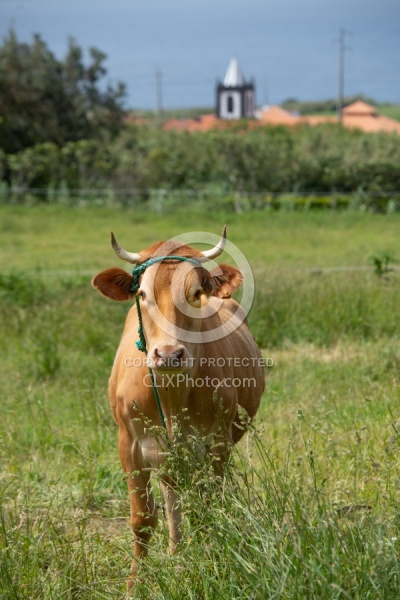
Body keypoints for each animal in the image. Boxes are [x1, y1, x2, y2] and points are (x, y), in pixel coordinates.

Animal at [92, 227, 264, 588]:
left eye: (196, 293)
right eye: (142, 294)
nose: (169, 354)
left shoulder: (216, 444)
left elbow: (208, 509)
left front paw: (210, 566)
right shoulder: (128, 444)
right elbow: (143, 519)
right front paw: (134, 586)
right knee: (173, 503)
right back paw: (175, 554)